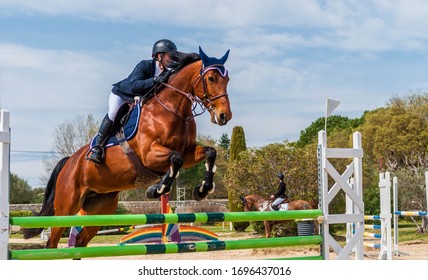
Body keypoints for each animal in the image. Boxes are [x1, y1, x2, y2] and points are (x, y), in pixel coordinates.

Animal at [21, 46, 232, 249]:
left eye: (227, 79)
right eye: (211, 78)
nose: (224, 116)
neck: (173, 109)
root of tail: (69, 161)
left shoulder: (187, 152)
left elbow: (209, 152)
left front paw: (203, 189)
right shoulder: (149, 155)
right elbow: (175, 160)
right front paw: (157, 189)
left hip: (100, 208)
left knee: (80, 241)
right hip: (67, 205)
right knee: (52, 241)